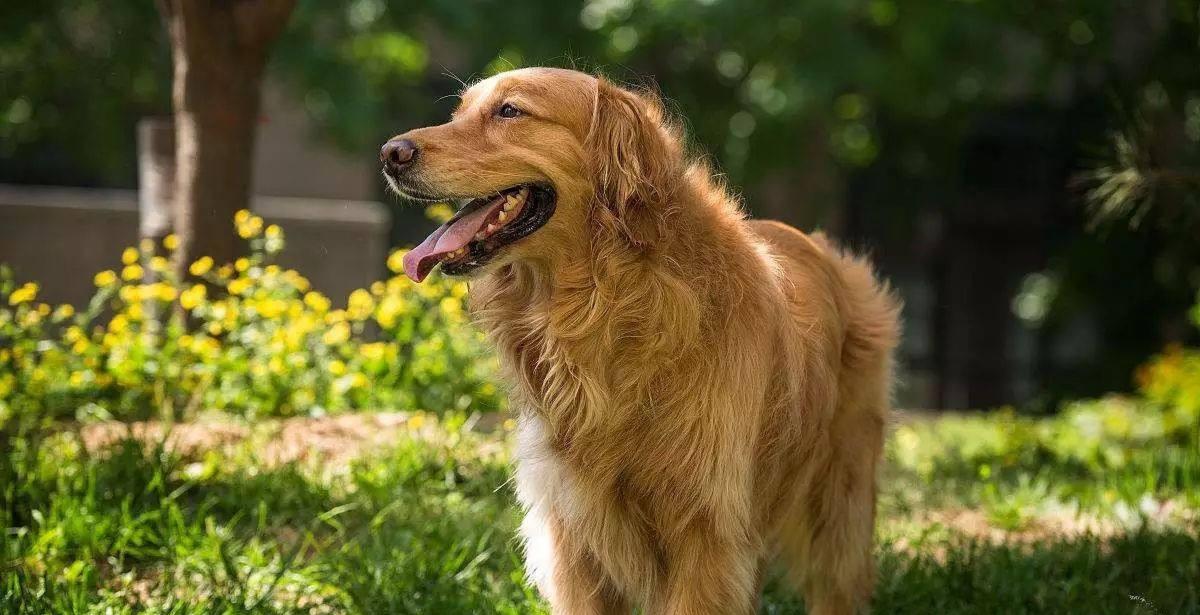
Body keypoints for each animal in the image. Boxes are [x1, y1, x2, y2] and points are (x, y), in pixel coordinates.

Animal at [384, 67, 902, 615]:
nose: (391, 153)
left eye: (510, 111)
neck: (607, 306)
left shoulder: (706, 535)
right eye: (458, 112)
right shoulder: (574, 535)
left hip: (839, 512)